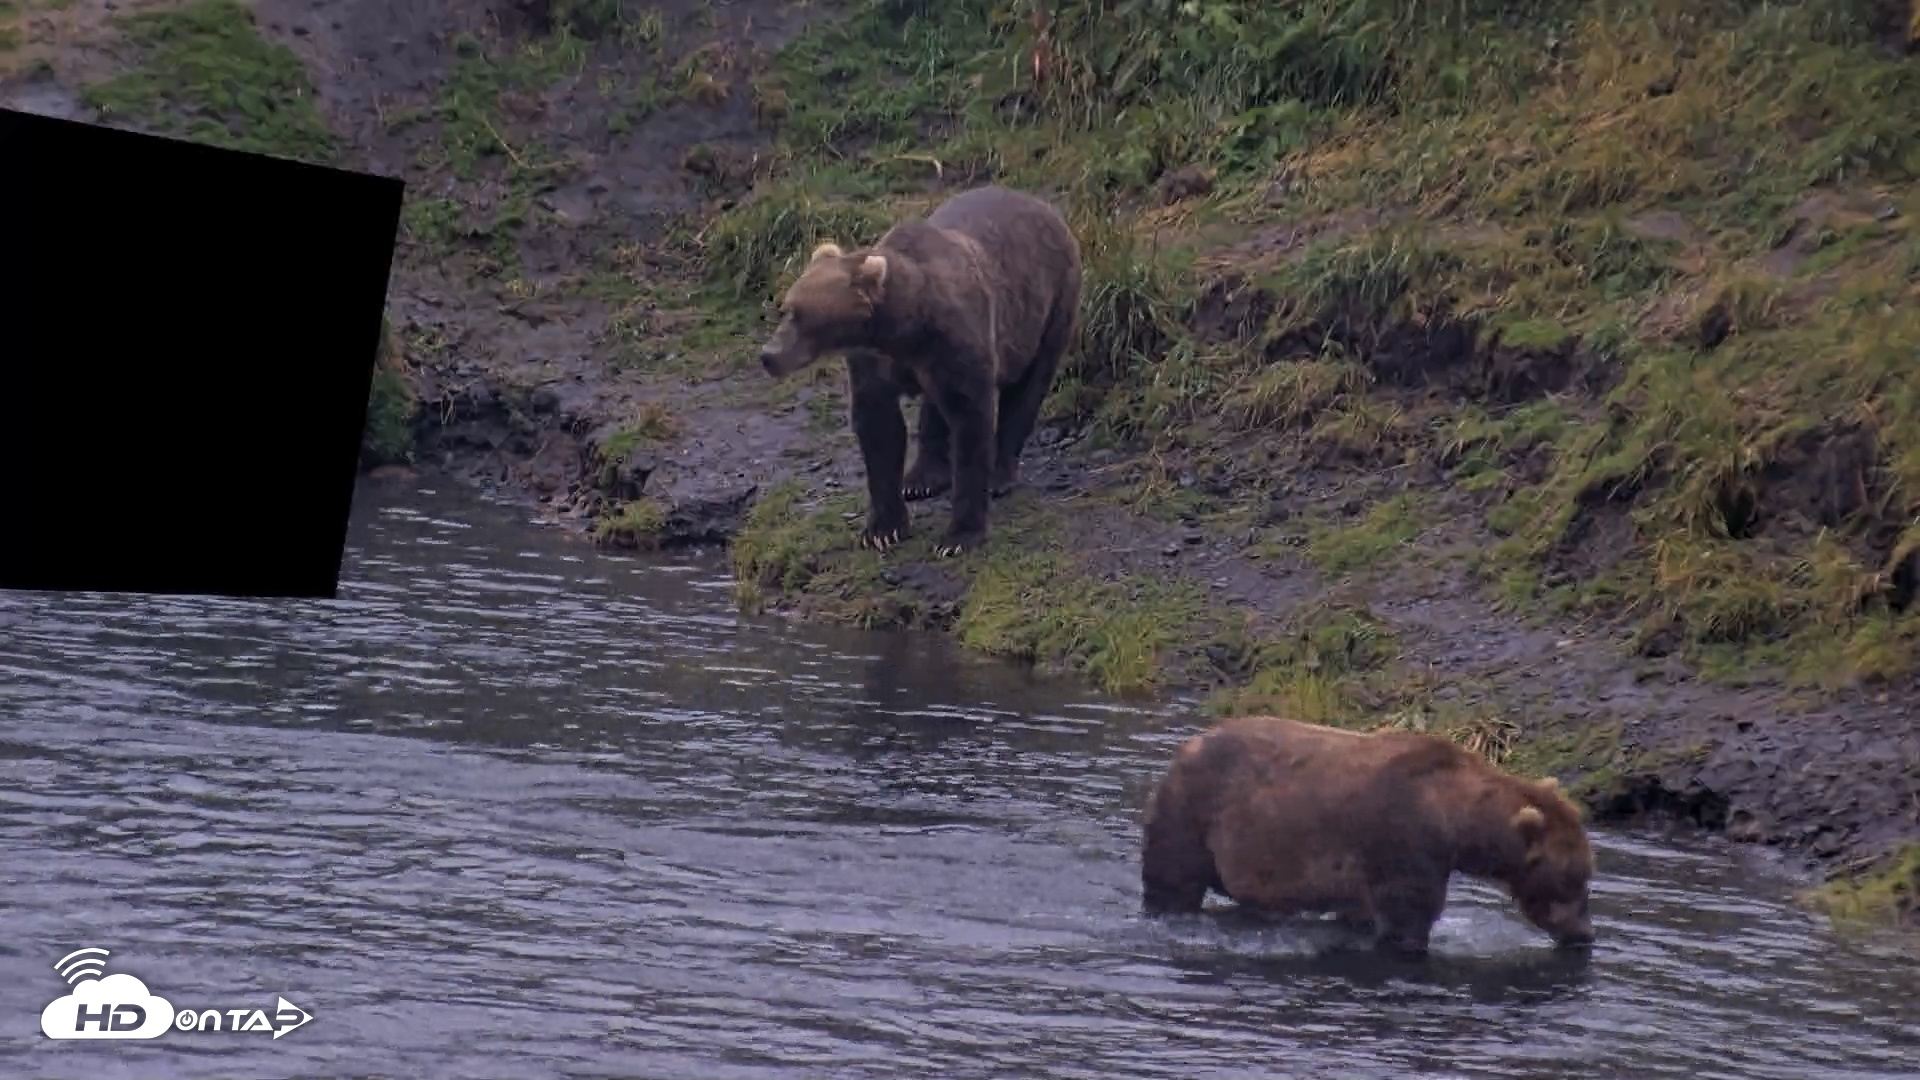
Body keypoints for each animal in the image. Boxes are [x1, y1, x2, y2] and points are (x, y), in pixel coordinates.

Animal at [755, 185, 1083, 557]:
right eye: (786, 308)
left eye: (801, 315)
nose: (768, 355)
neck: (906, 327)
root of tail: (1043, 206)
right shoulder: (875, 361)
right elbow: (880, 429)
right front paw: (883, 529)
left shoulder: (958, 342)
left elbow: (970, 423)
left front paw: (959, 536)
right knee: (934, 406)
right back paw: (921, 478)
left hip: (1050, 306)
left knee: (1028, 386)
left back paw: (1000, 474)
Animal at [1139, 714, 1596, 956]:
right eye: (1571, 878)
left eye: (1586, 875)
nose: (1584, 936)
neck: (1454, 816)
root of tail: (1186, 747)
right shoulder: (1403, 838)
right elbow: (1409, 911)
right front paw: (1409, 944)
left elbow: (1361, 911)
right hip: (1191, 813)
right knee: (1174, 877)